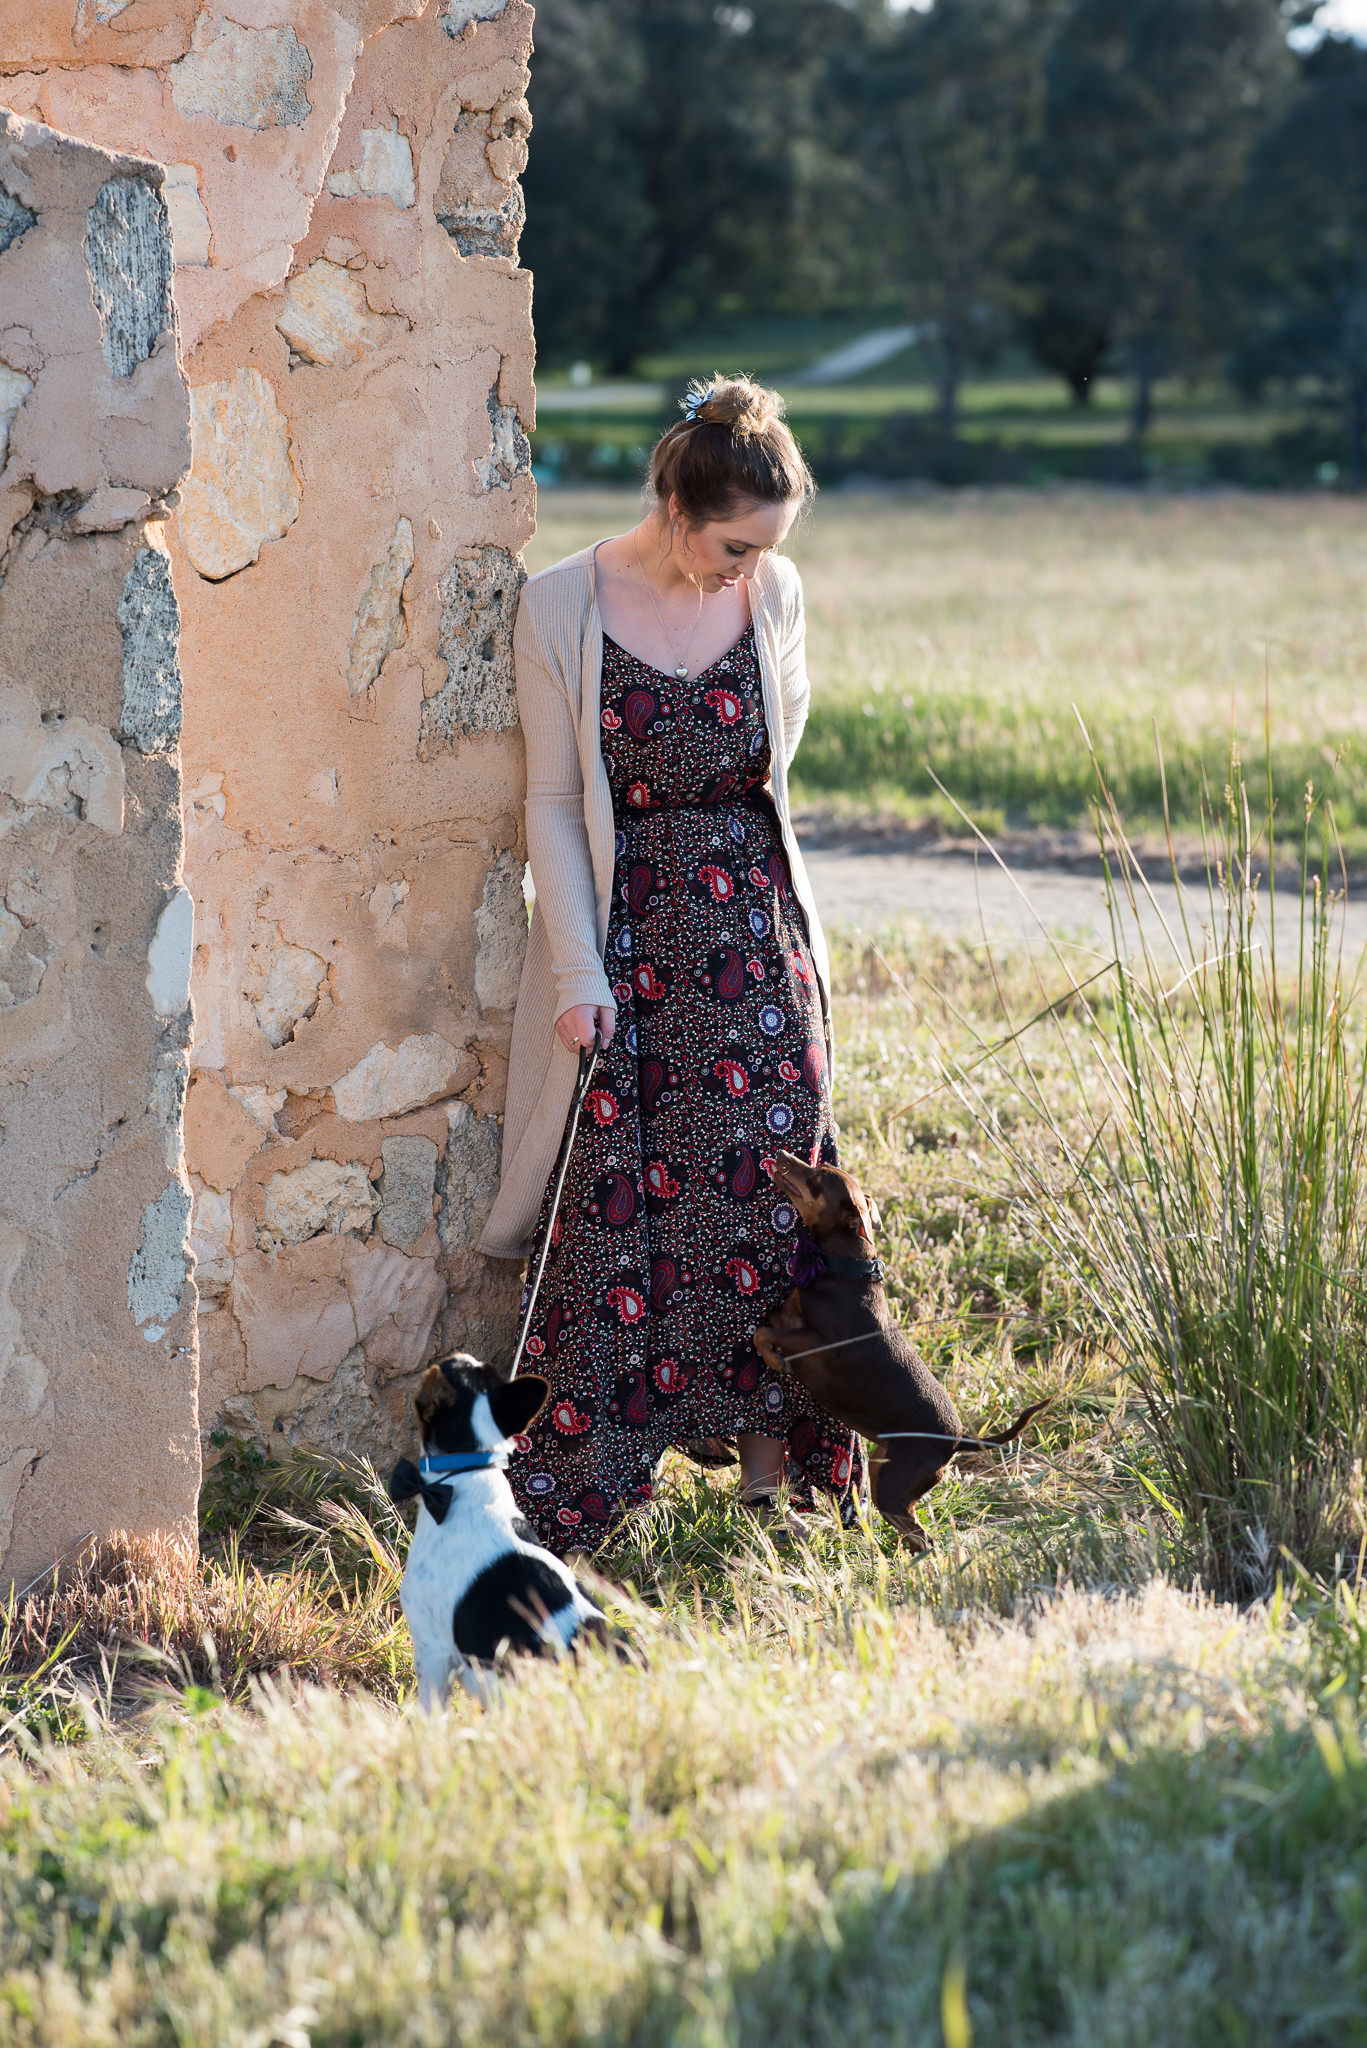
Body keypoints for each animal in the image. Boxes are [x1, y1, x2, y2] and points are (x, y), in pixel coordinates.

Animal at [754, 1155, 1057, 1548]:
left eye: (818, 1175)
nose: (783, 1154)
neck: (843, 1269)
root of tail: (957, 1440)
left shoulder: (818, 1345)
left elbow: (762, 1333)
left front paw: (772, 1357)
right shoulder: (789, 1318)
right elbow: (768, 1321)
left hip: (894, 1488)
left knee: (924, 1537)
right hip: (885, 1473)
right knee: (914, 1534)